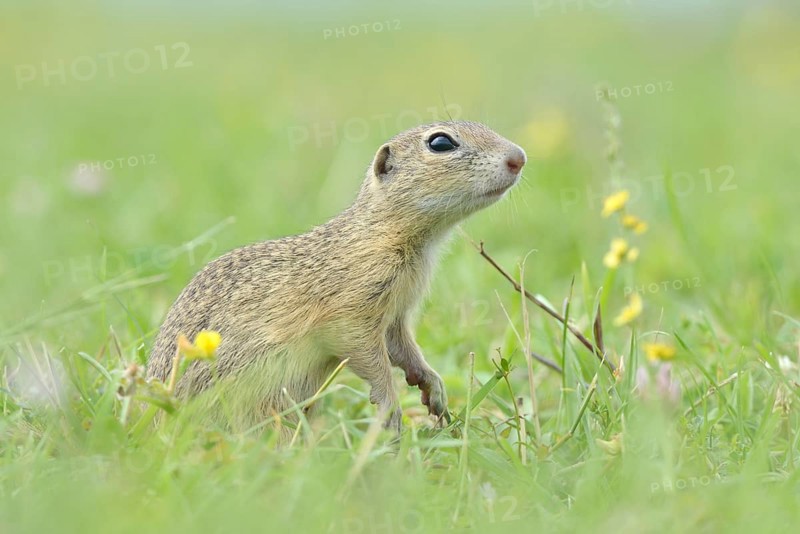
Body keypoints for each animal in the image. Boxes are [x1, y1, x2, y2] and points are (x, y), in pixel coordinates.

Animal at [147, 121, 526, 432]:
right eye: (441, 143)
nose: (519, 158)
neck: (386, 233)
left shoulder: (395, 316)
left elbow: (402, 348)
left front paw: (432, 387)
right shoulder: (352, 310)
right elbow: (364, 352)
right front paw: (389, 405)